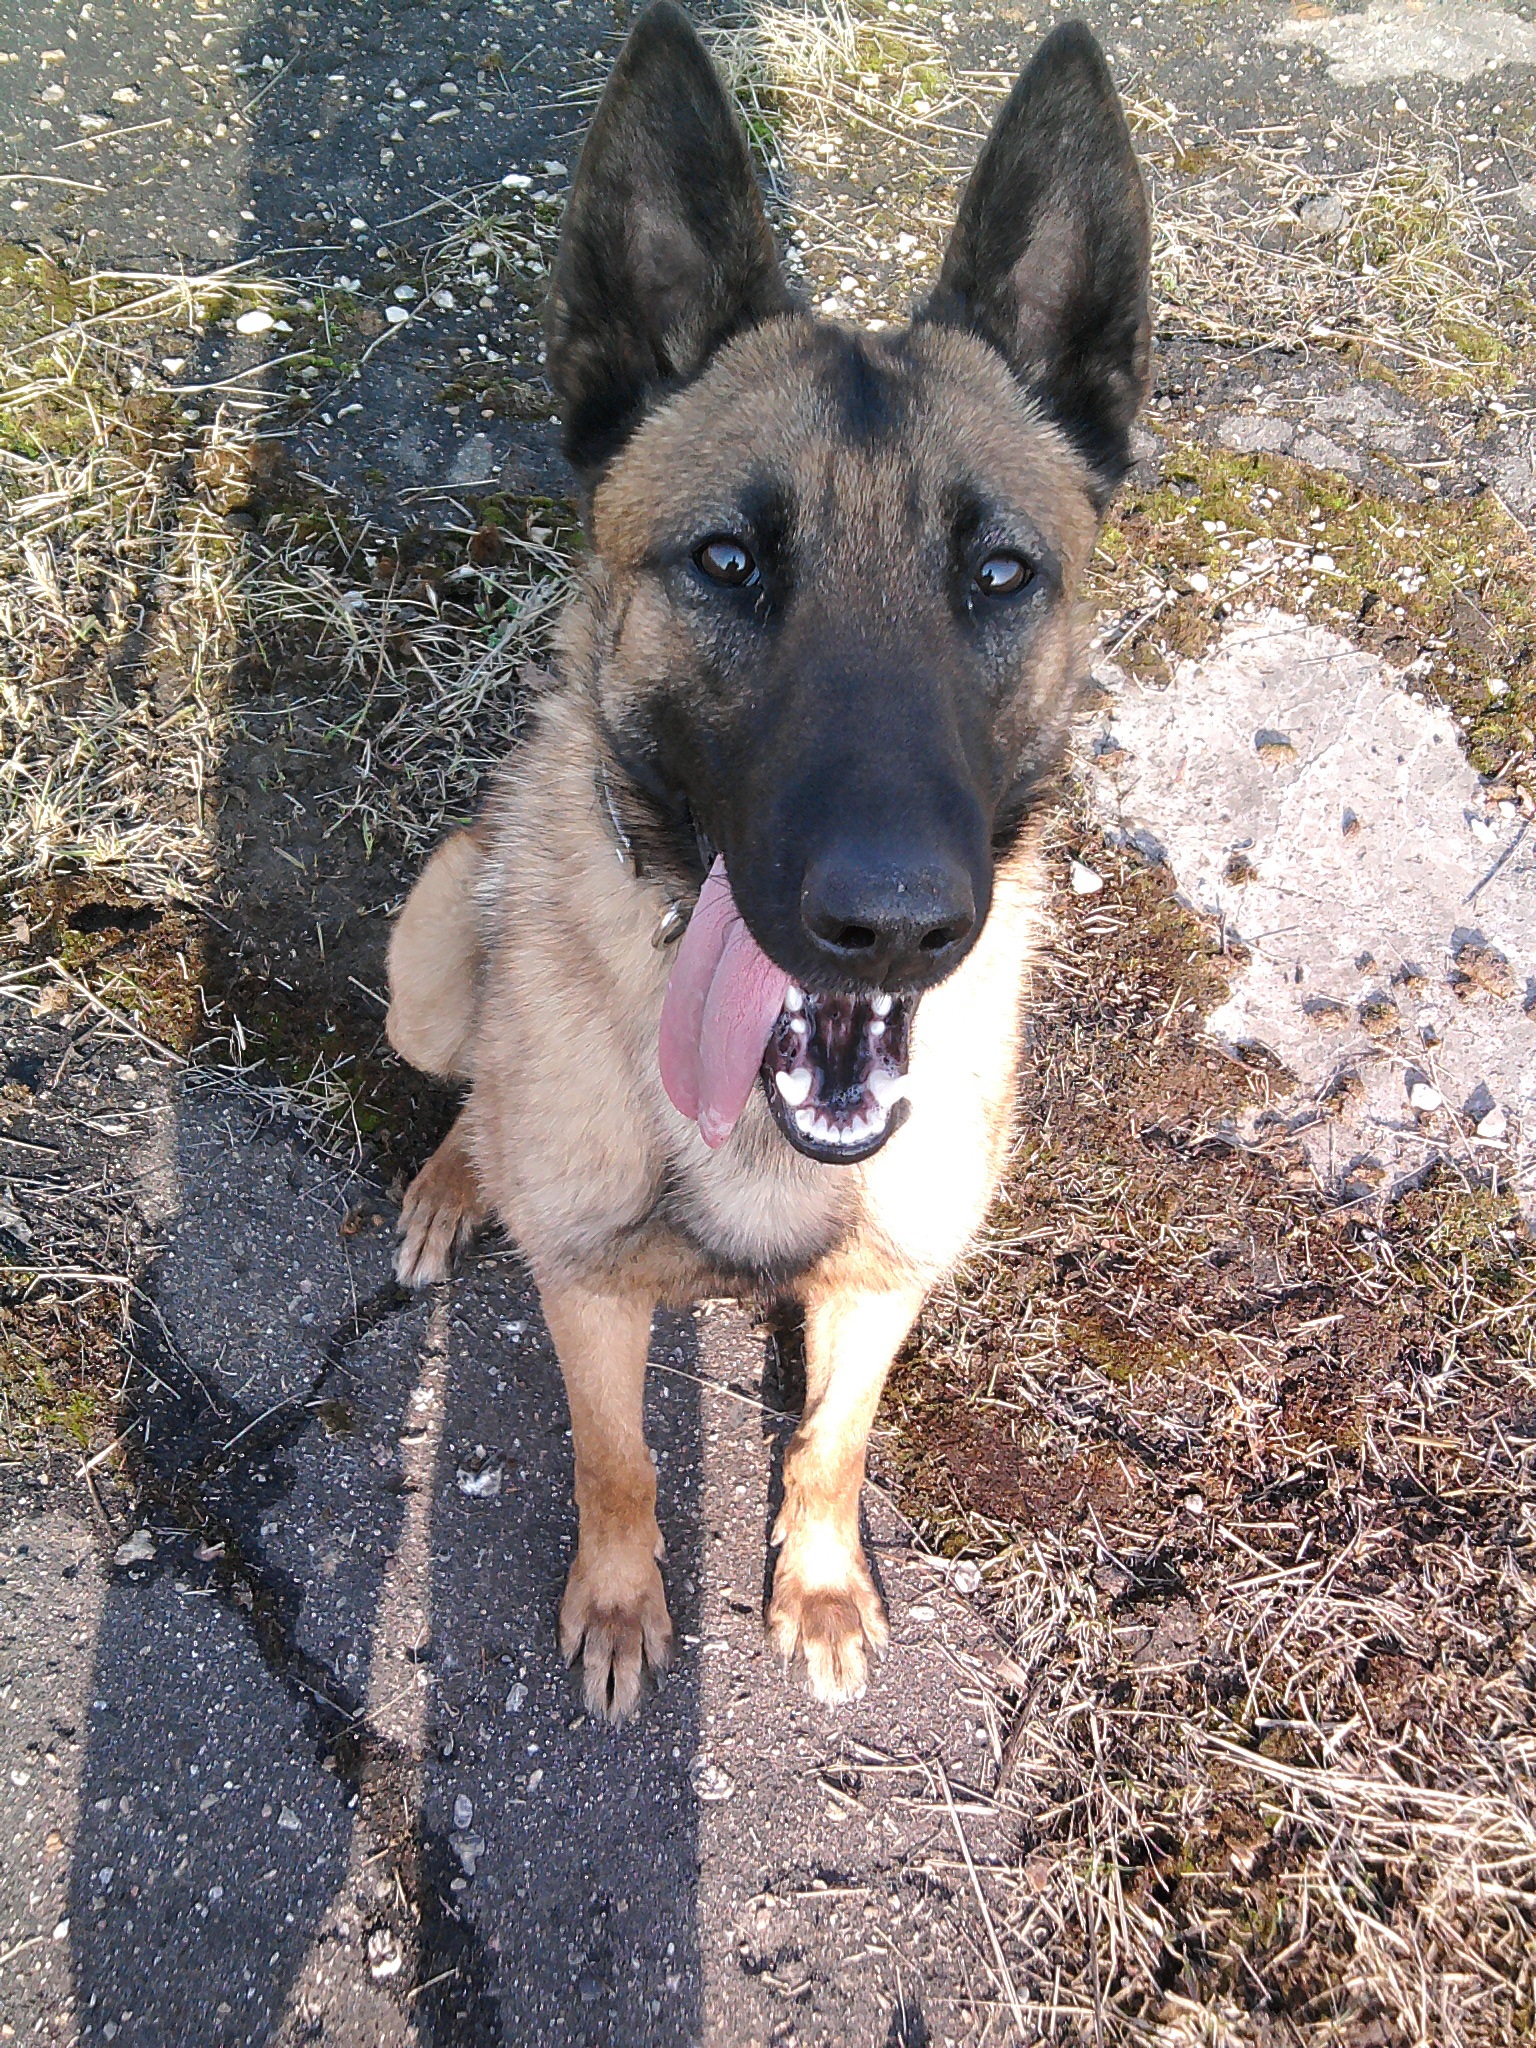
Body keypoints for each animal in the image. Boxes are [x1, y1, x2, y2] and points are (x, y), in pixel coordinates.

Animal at [385, 1, 1149, 1721]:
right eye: (729, 561)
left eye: (999, 573)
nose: (893, 926)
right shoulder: (594, 1298)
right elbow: (616, 1467)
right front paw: (620, 1605)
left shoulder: (884, 1286)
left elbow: (828, 1448)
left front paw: (818, 1589)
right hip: (427, 958)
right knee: (472, 1082)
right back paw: (460, 1174)